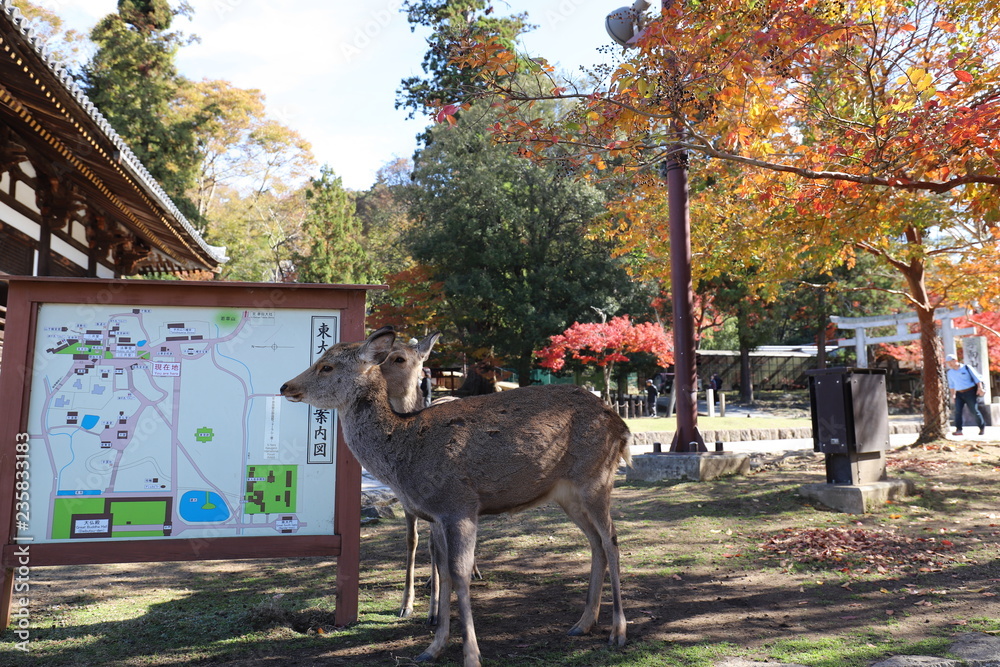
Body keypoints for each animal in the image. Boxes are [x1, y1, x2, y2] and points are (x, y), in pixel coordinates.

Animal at [281, 327, 630, 667]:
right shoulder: (435, 515)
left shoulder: (459, 505)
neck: (405, 451)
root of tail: (620, 425)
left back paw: (617, 631)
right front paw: (432, 647)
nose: (286, 385)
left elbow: (461, 575)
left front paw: (471, 655)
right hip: (566, 494)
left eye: (326, 366)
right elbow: (444, 571)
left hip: (596, 477)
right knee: (596, 543)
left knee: (611, 540)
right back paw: (583, 623)